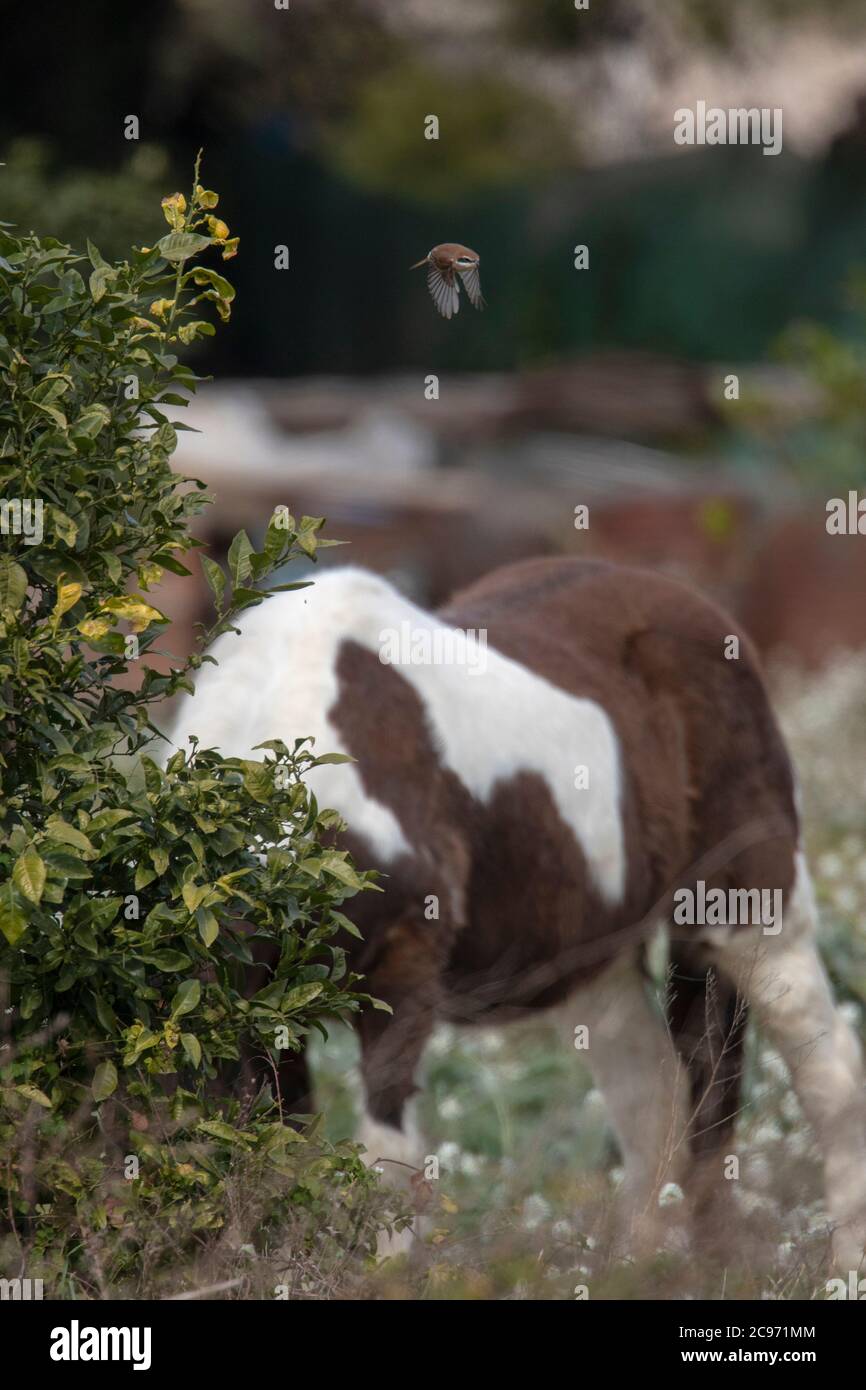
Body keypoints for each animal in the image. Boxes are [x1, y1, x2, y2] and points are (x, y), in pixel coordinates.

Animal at [169, 556, 866, 1273]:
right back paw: (641, 1266)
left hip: (752, 915)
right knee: (656, 1099)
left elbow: (385, 1154)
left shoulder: (401, 968)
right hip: (595, 963)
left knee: (829, 1074)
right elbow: (283, 1144)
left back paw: (841, 1266)